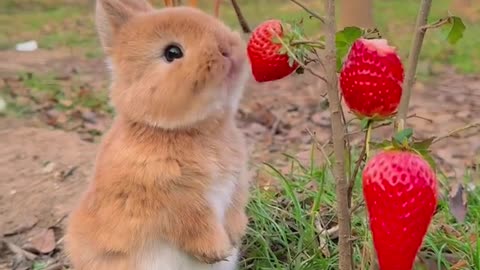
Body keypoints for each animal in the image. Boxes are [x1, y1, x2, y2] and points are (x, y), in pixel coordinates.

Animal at [65, 0, 253, 270]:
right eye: (172, 53)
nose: (229, 49)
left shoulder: (237, 184)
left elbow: (234, 210)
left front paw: (236, 235)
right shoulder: (176, 202)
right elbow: (195, 225)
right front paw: (217, 251)